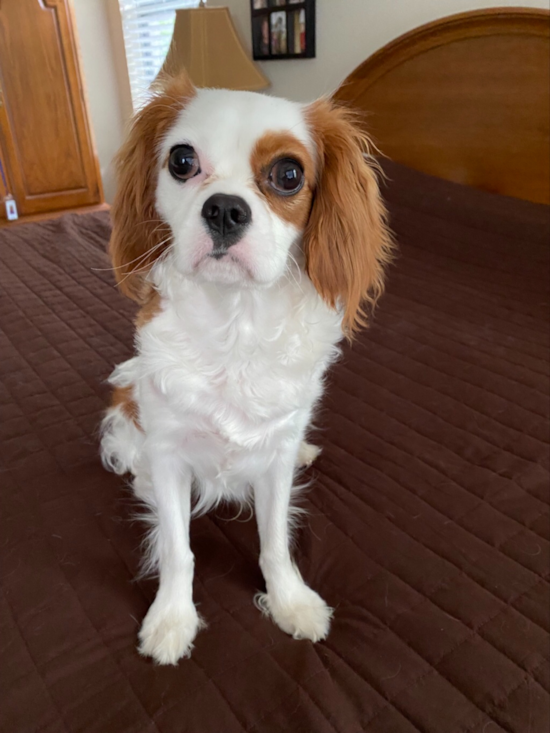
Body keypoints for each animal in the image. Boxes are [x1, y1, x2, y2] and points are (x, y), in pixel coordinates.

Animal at [99, 73, 392, 664]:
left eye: (288, 174)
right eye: (182, 161)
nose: (225, 209)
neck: (236, 322)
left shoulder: (273, 461)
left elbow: (275, 542)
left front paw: (289, 601)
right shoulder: (169, 455)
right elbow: (178, 550)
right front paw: (172, 619)